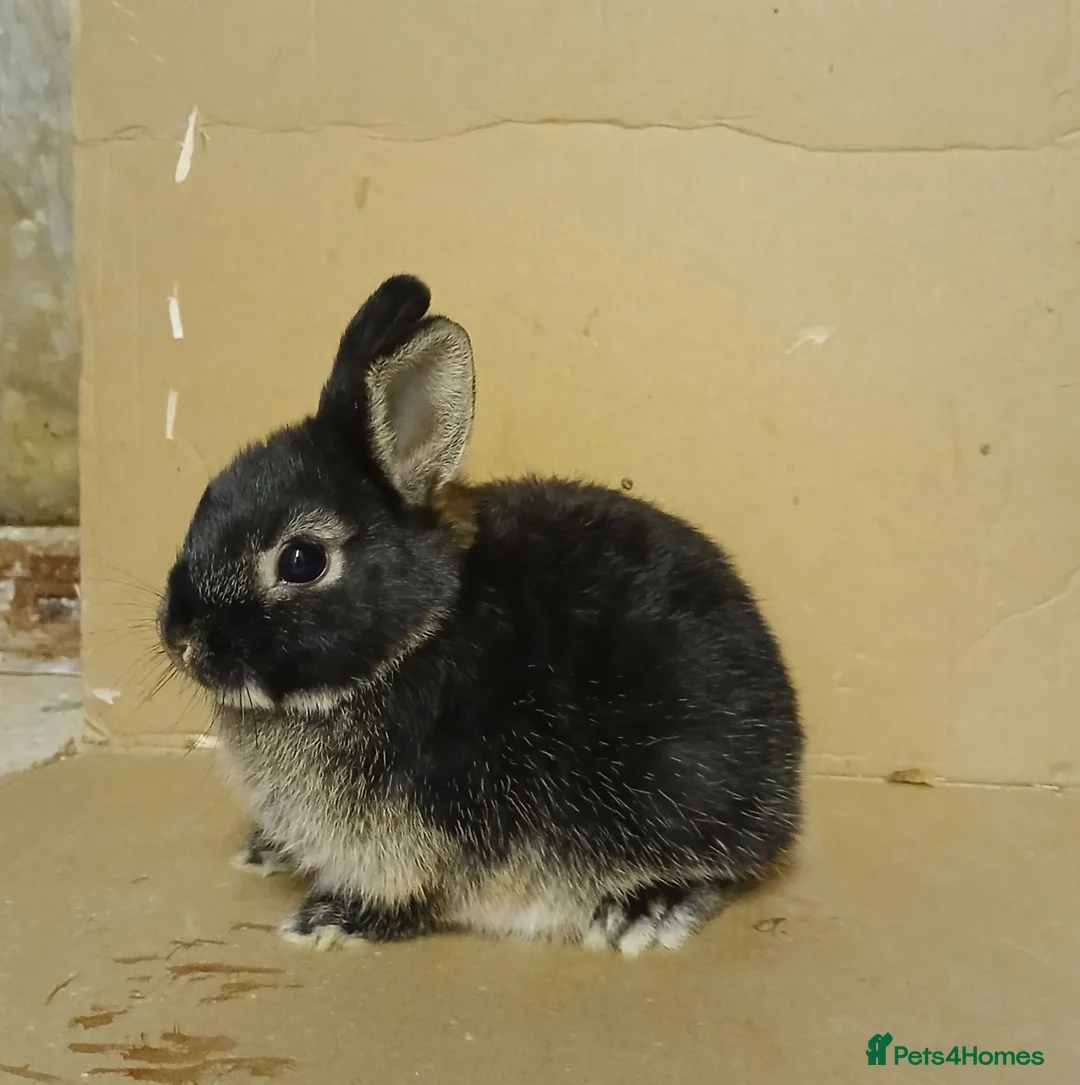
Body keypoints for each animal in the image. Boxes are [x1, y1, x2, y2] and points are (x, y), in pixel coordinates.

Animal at [158, 274, 804, 956]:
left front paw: (329, 920)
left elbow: (411, 894)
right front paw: (267, 852)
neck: (415, 637)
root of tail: (789, 785)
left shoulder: (418, 837)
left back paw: (644, 912)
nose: (180, 639)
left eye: (302, 560)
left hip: (677, 794)